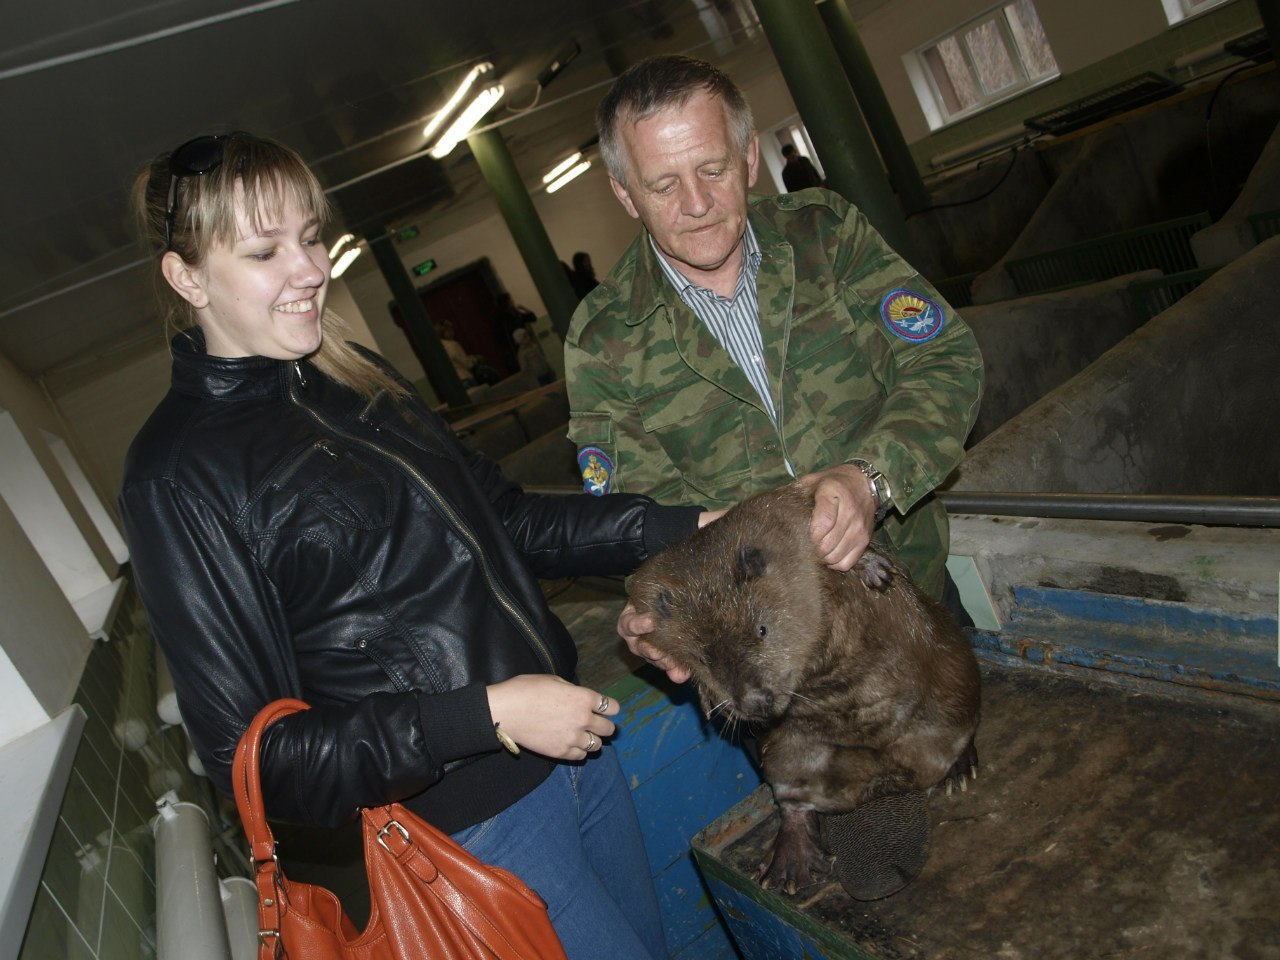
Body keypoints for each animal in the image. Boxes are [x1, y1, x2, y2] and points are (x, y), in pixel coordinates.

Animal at [629, 483, 977, 901]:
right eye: (704, 657)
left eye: (762, 629)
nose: (756, 701)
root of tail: (879, 788)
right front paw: (711, 701)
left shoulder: (795, 519)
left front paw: (875, 570)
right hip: (789, 756)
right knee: (795, 802)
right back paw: (788, 867)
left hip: (952, 681)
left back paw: (959, 771)